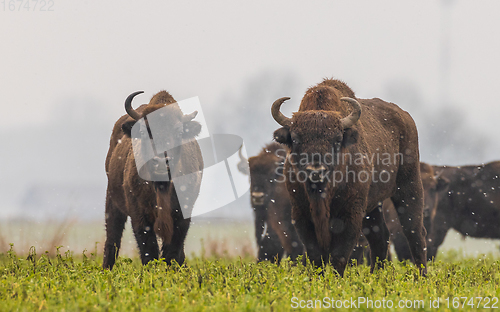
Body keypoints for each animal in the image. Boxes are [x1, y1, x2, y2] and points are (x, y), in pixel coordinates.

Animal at [103, 89, 203, 270]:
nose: (162, 161)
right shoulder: (140, 217)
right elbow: (149, 251)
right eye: (143, 132)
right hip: (112, 201)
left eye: (179, 132)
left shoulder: (182, 216)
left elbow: (173, 252)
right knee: (112, 240)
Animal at [272, 78, 428, 276]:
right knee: (380, 236)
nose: (316, 170)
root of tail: (406, 117)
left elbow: (339, 254)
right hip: (373, 204)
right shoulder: (301, 213)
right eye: (296, 138)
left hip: (409, 186)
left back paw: (421, 277)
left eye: (337, 139)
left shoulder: (351, 212)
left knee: (414, 231)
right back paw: (376, 276)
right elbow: (316, 255)